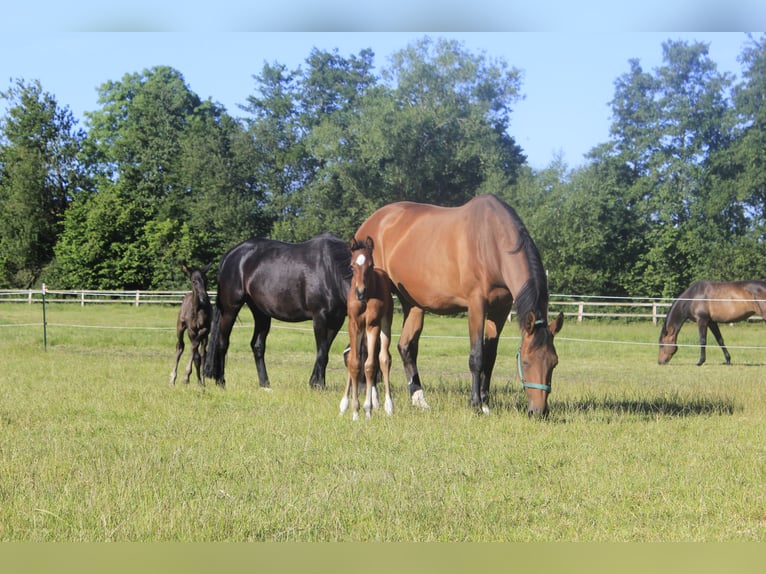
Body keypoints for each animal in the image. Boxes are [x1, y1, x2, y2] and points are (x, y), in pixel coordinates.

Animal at [340, 236, 396, 420]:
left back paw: (387, 406)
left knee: (384, 359)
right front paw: (354, 411)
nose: (360, 292)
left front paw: (367, 409)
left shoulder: (373, 325)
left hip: (386, 322)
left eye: (370, 265)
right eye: (352, 266)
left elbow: (370, 365)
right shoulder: (354, 325)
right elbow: (354, 363)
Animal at [354, 195, 564, 418]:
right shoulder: (476, 305)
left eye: (554, 362)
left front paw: (486, 402)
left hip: (412, 303)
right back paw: (374, 400)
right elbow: (477, 356)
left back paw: (419, 400)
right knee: (369, 347)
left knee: (406, 347)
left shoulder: (500, 309)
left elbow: (490, 357)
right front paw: (475, 403)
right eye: (525, 362)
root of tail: (368, 223)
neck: (492, 243)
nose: (539, 411)